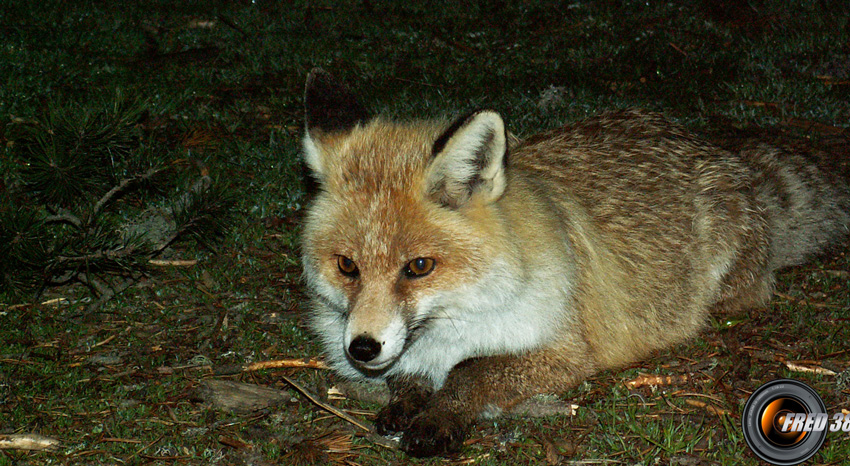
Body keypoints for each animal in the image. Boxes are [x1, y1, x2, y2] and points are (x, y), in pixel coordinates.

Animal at [296, 67, 848, 456]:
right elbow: (407, 377)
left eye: (418, 267)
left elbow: (472, 371)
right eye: (347, 266)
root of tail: (710, 146)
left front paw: (439, 416)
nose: (361, 348)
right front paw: (406, 400)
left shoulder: (567, 350)